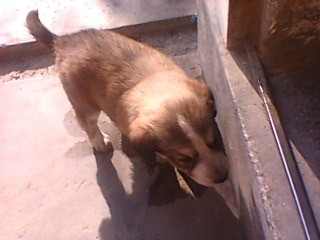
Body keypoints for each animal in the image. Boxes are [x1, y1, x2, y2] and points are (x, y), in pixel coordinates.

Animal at [26, 9, 229, 186]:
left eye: (214, 141)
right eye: (185, 158)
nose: (223, 178)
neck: (156, 89)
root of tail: (63, 41)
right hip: (84, 103)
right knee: (88, 125)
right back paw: (100, 143)